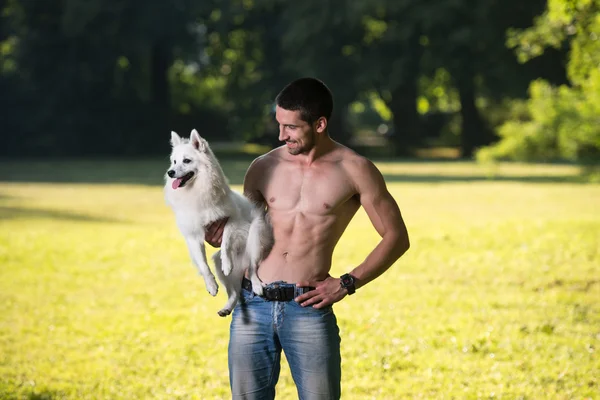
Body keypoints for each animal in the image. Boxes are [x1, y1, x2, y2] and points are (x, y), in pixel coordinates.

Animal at [166, 128, 274, 316]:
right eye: (174, 161)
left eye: (186, 161)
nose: (170, 172)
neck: (195, 191)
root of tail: (242, 261)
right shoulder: (193, 236)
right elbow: (203, 264)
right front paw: (211, 285)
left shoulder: (233, 221)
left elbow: (226, 241)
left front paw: (228, 263)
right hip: (219, 265)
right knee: (235, 292)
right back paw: (227, 307)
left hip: (255, 236)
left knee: (253, 268)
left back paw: (256, 285)